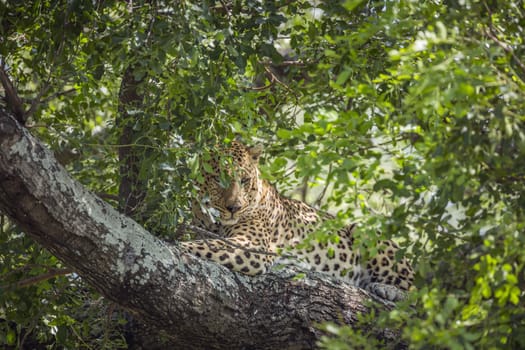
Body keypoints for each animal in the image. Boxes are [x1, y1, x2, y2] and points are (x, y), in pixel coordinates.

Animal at [180, 141, 414, 302]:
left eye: (244, 180)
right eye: (218, 179)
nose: (233, 208)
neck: (215, 221)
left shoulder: (253, 246)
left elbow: (204, 245)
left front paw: (176, 247)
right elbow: (203, 241)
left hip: (365, 233)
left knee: (416, 291)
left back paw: (388, 289)